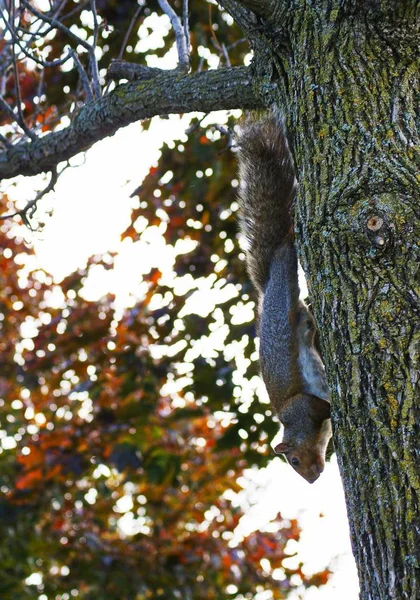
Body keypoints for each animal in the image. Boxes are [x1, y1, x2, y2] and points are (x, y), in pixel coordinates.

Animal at [236, 111, 332, 482]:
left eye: (292, 460)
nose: (313, 478)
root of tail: (266, 290)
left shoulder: (303, 406)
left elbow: (323, 406)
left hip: (285, 276)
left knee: (287, 250)